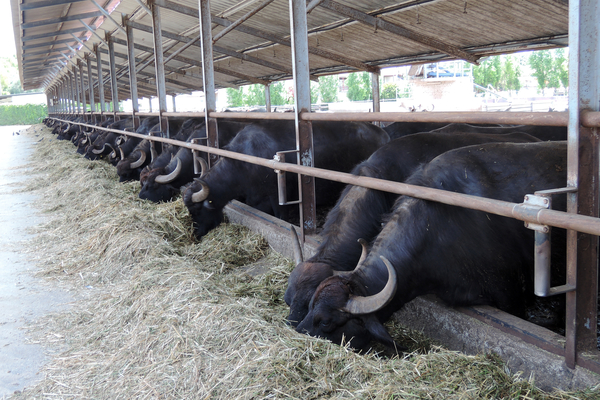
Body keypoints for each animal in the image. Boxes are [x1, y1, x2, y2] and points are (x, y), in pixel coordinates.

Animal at [183, 120, 390, 239]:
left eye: (197, 209)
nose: (197, 234)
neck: (244, 162)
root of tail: (382, 134)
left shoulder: (277, 197)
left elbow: (281, 217)